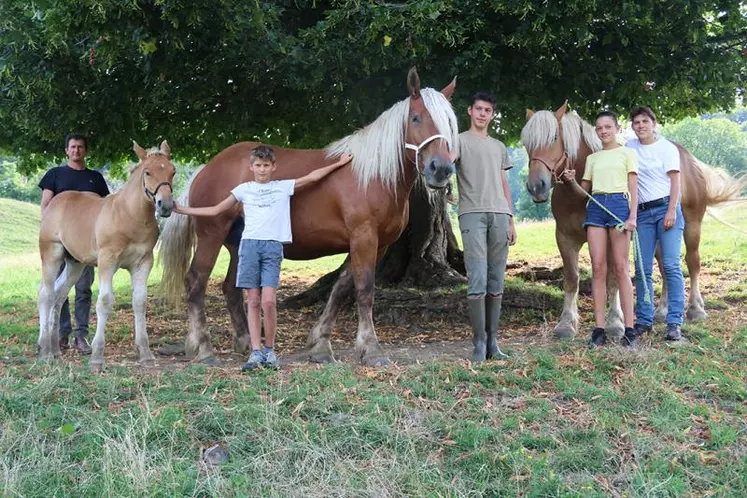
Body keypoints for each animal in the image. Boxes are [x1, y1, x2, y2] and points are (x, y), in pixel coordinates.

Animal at [38, 142, 178, 368]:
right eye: (148, 172)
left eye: (173, 171)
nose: (165, 205)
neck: (129, 216)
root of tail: (54, 203)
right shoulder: (107, 261)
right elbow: (104, 302)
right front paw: (97, 356)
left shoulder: (143, 262)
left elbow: (140, 302)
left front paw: (146, 354)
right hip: (51, 254)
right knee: (46, 294)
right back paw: (44, 350)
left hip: (75, 263)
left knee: (59, 295)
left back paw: (55, 350)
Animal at [161, 68, 458, 368]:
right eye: (416, 117)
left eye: (448, 122)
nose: (441, 169)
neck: (373, 176)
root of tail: (205, 169)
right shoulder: (364, 238)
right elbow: (364, 290)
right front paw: (372, 349)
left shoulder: (376, 244)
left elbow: (341, 288)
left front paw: (320, 343)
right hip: (212, 236)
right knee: (195, 283)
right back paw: (204, 349)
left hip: (238, 243)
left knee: (231, 288)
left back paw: (244, 342)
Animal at [524, 103, 744, 340]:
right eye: (526, 143)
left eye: (554, 137)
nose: (536, 186)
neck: (579, 196)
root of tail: (689, 161)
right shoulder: (565, 238)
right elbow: (572, 279)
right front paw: (566, 323)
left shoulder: (611, 239)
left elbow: (612, 279)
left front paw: (614, 322)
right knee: (665, 268)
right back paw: (661, 312)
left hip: (692, 226)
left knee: (692, 262)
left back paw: (696, 309)